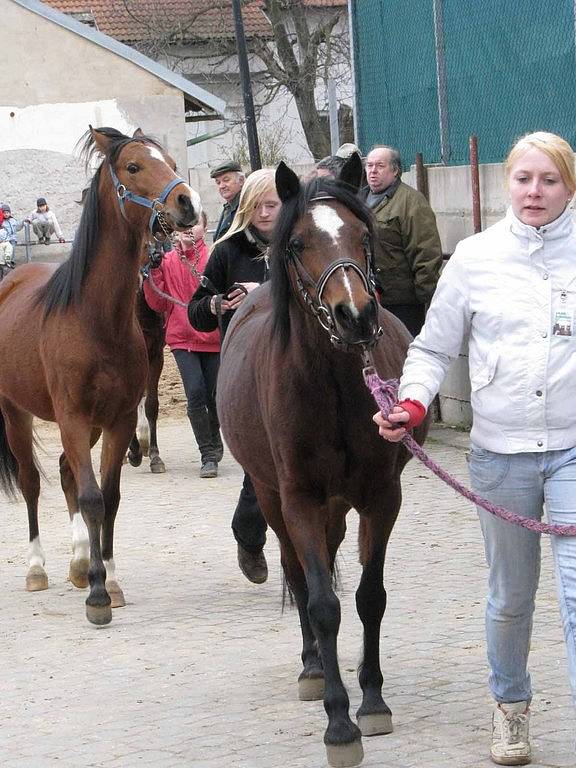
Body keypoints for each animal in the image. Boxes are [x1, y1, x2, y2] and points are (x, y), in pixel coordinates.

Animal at [0, 126, 200, 624]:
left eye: (171, 162)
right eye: (133, 166)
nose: (188, 203)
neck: (94, 319)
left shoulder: (117, 419)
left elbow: (107, 497)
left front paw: (105, 576)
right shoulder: (72, 417)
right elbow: (91, 497)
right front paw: (96, 597)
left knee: (65, 472)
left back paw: (77, 562)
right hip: (16, 414)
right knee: (33, 482)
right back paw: (38, 569)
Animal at [218, 159, 430, 764]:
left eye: (364, 236)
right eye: (297, 243)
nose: (355, 315)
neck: (333, 386)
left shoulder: (381, 497)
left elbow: (369, 597)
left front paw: (372, 700)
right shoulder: (300, 501)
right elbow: (322, 605)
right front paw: (339, 723)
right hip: (273, 497)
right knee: (295, 572)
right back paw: (313, 667)